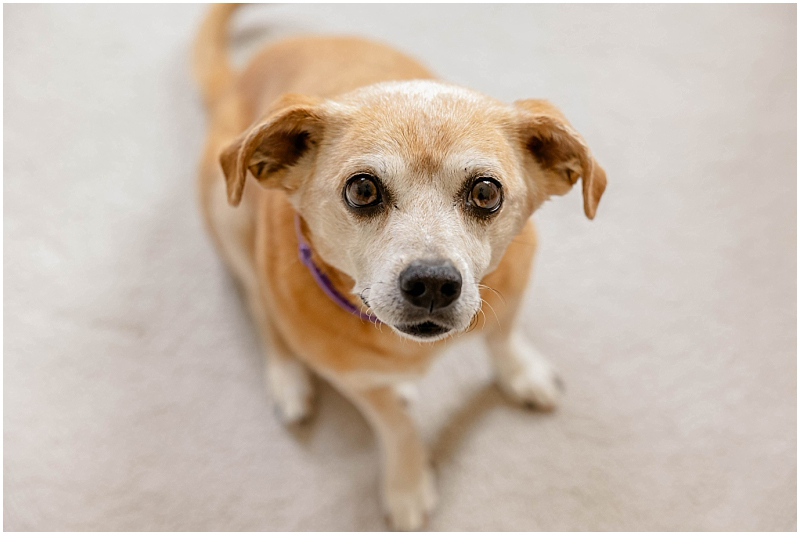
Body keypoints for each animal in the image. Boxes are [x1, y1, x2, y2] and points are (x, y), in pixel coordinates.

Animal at [194, 5, 608, 532]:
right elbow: (396, 424)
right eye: (362, 189)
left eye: (486, 192)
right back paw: (288, 377)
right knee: (259, 305)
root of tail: (238, 80)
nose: (433, 283)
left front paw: (520, 372)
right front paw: (408, 483)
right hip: (227, 214)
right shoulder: (353, 381)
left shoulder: (514, 285)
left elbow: (502, 335)